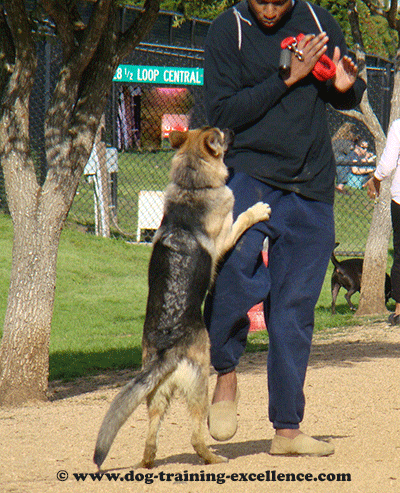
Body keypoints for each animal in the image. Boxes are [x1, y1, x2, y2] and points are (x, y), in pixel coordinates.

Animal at [92, 127, 270, 468]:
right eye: (220, 134)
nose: (233, 130)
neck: (192, 184)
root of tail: (167, 349)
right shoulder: (225, 237)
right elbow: (242, 218)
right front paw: (258, 211)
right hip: (200, 384)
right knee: (196, 436)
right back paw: (213, 458)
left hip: (157, 396)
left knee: (151, 438)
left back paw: (149, 461)